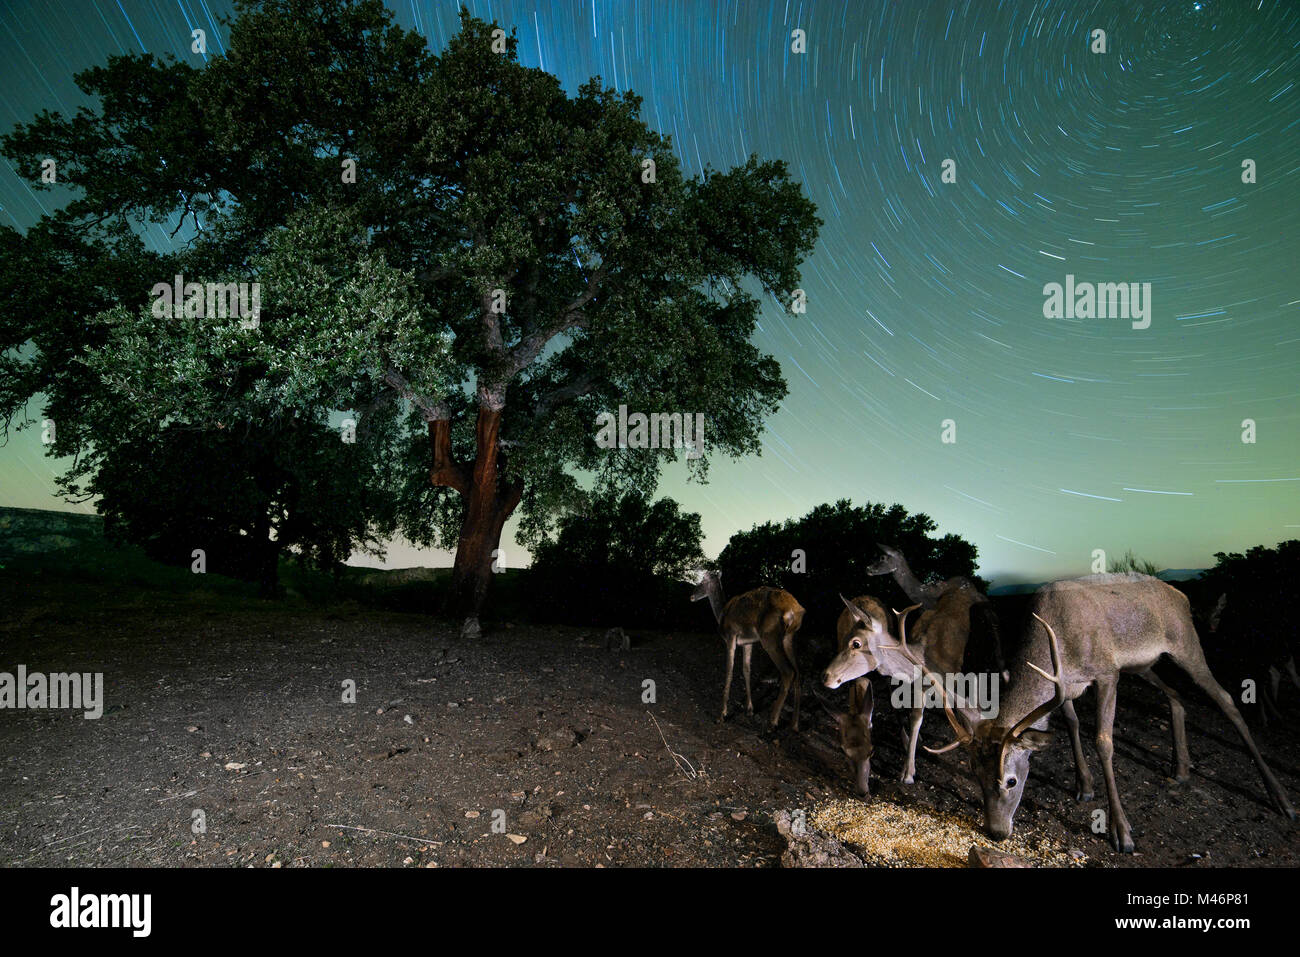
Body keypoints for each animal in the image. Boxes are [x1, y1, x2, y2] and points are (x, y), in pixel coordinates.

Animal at [691, 566, 800, 733]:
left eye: (702, 581)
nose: (691, 596)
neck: (721, 614)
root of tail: (794, 610)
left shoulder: (731, 636)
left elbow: (729, 670)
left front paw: (721, 715)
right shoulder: (748, 642)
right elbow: (746, 669)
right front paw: (749, 709)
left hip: (770, 637)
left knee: (788, 672)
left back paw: (772, 723)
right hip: (788, 638)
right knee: (799, 672)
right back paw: (794, 724)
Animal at [873, 574, 1289, 852]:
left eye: (1011, 780)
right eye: (974, 774)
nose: (996, 832)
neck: (1058, 641)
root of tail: (1182, 596)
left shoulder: (1106, 673)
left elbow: (1103, 741)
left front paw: (1122, 833)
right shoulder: (1069, 685)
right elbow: (1071, 723)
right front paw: (1083, 785)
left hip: (1185, 643)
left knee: (1228, 701)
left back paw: (1281, 798)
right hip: (1145, 665)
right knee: (1176, 697)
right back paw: (1181, 768)